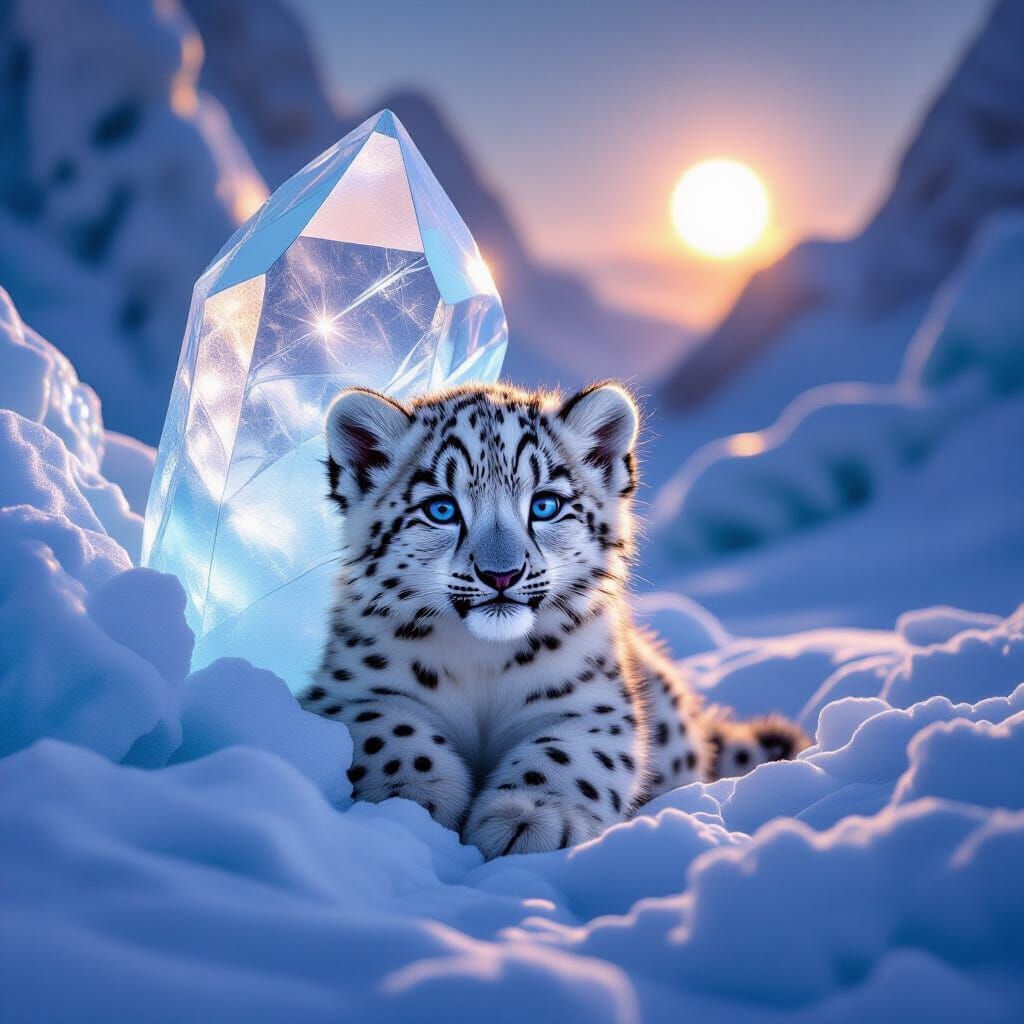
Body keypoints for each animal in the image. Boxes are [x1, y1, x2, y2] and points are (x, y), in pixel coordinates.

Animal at [298, 381, 808, 858]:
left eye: (545, 505)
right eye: (441, 509)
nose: (501, 574)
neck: (483, 662)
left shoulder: (591, 703)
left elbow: (566, 755)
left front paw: (529, 819)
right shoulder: (351, 692)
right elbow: (390, 733)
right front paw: (409, 802)